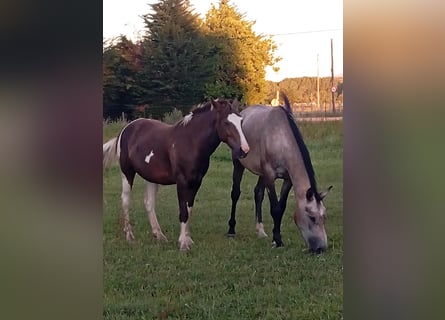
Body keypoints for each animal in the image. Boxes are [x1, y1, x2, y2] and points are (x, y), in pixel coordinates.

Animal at [104, 98, 250, 250]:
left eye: (241, 121)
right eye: (226, 122)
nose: (244, 150)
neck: (190, 142)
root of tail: (126, 129)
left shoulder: (196, 182)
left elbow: (189, 209)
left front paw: (188, 239)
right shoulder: (182, 182)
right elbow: (183, 211)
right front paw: (183, 244)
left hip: (151, 177)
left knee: (149, 203)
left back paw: (159, 235)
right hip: (127, 173)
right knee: (126, 201)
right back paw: (129, 236)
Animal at [227, 94, 332, 254]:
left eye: (324, 217)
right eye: (312, 217)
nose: (321, 248)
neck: (281, 138)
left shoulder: (287, 179)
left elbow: (281, 207)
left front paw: (275, 237)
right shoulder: (270, 176)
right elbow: (275, 208)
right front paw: (277, 241)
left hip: (261, 173)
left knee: (258, 193)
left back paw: (260, 231)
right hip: (238, 164)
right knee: (235, 193)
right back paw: (231, 230)